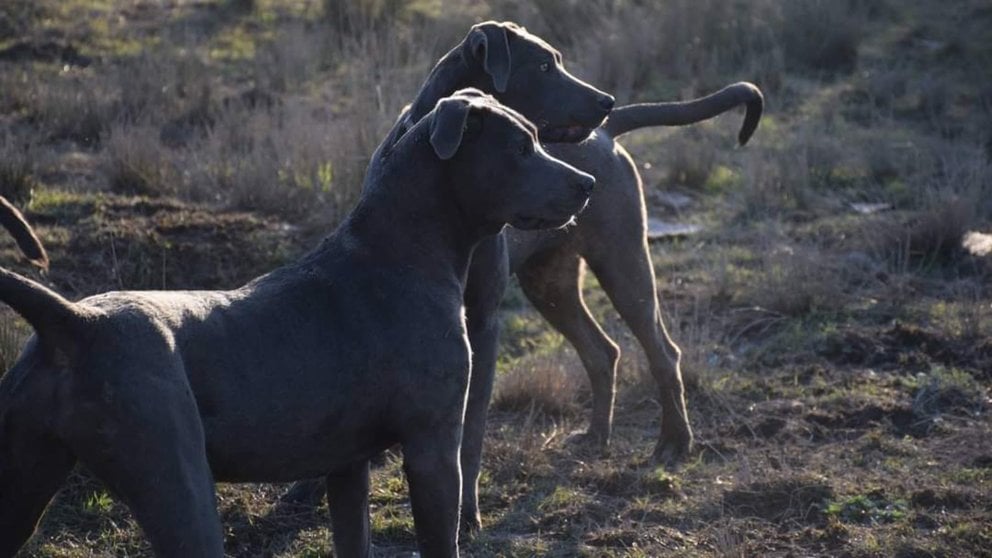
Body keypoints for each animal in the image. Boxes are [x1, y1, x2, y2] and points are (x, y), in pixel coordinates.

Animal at [0, 89, 596, 556]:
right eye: (522, 147)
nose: (587, 182)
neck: (403, 251)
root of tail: (72, 321)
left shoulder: (348, 468)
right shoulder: (432, 447)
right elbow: (439, 539)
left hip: (27, 478)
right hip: (177, 487)